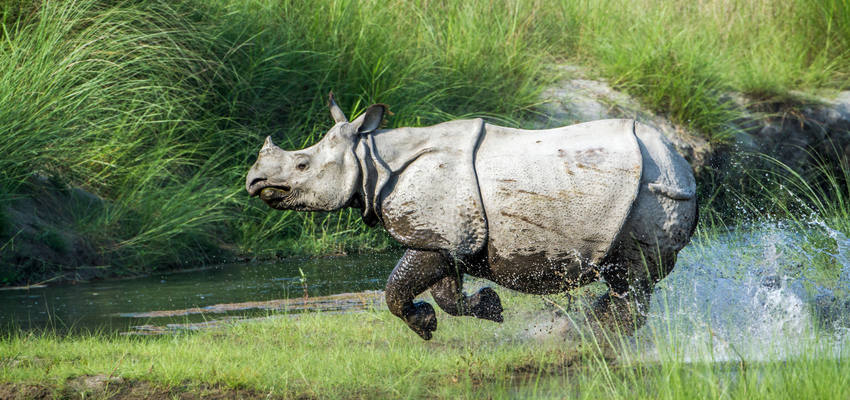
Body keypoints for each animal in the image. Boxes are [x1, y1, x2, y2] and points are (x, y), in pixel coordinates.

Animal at [245, 92, 696, 340]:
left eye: (301, 165)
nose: (254, 181)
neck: (371, 158)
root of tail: (680, 160)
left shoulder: (438, 233)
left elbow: (395, 287)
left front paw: (427, 324)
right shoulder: (446, 235)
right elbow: (446, 293)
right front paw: (486, 308)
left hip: (651, 191)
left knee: (630, 277)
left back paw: (589, 337)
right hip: (643, 187)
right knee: (626, 283)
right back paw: (584, 330)